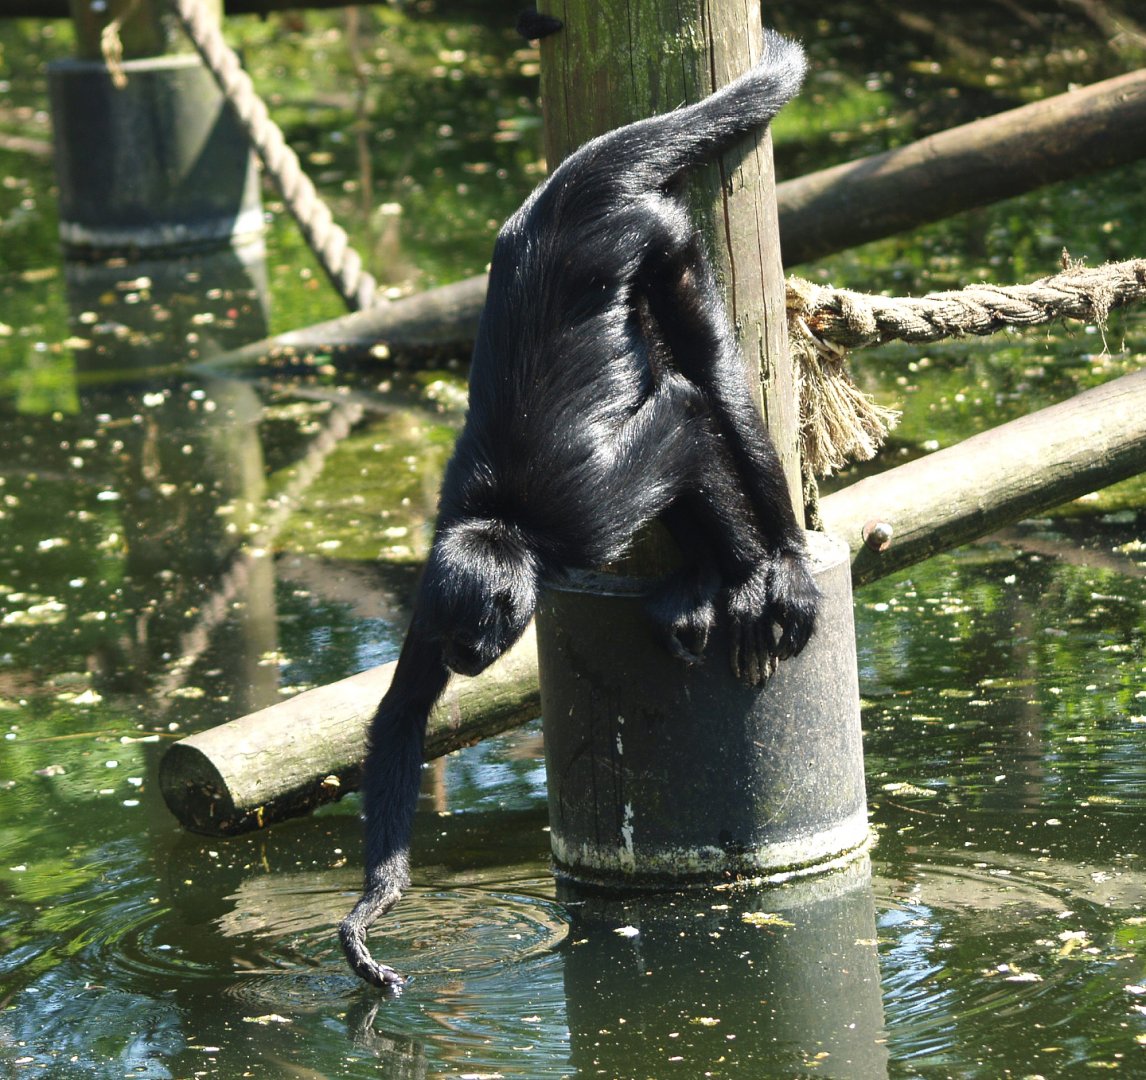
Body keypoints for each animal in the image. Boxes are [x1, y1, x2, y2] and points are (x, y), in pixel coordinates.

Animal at [341, 30, 816, 990]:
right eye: (457, 634)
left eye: (483, 629)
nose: (468, 655)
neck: (511, 528)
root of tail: (575, 189)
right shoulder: (431, 585)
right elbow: (401, 715)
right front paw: (373, 911)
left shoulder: (584, 518)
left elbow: (686, 417)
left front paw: (756, 568)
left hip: (661, 236)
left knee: (705, 373)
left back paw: (772, 559)